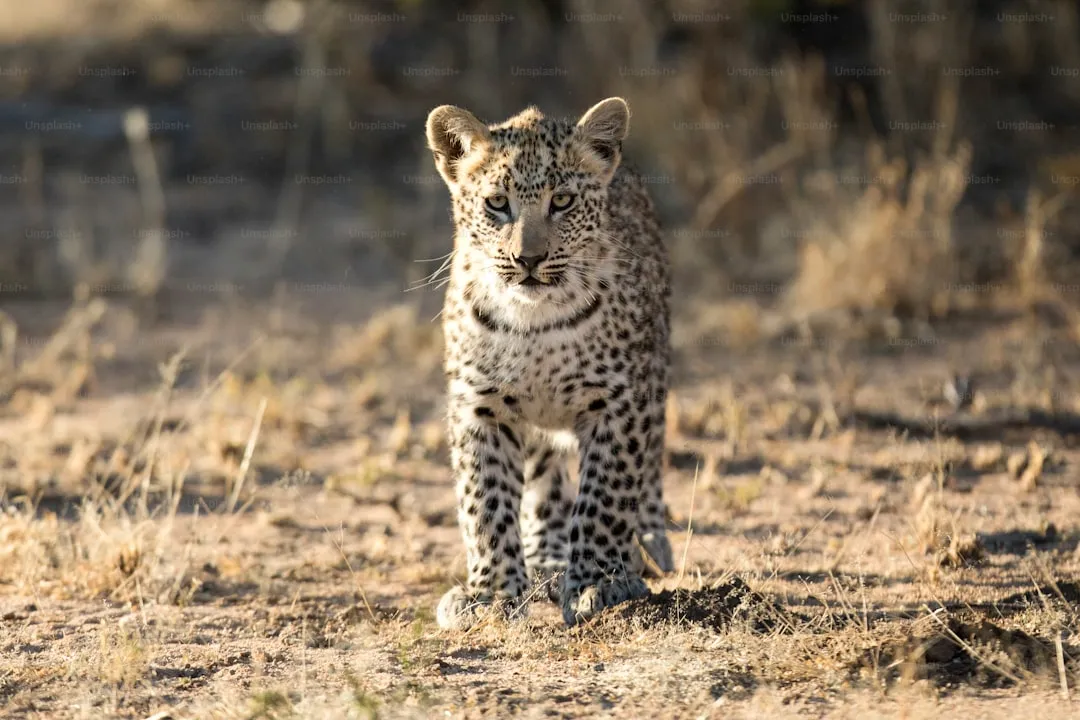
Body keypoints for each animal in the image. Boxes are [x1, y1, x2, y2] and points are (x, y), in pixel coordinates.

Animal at [425, 96, 674, 629]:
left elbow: (604, 496)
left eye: (562, 202)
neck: (533, 322)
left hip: (657, 371)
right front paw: (493, 595)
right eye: (497, 203)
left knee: (648, 465)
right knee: (544, 480)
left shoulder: (618, 402)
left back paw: (649, 541)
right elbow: (485, 501)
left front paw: (600, 582)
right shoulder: (479, 406)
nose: (528, 259)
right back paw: (548, 554)